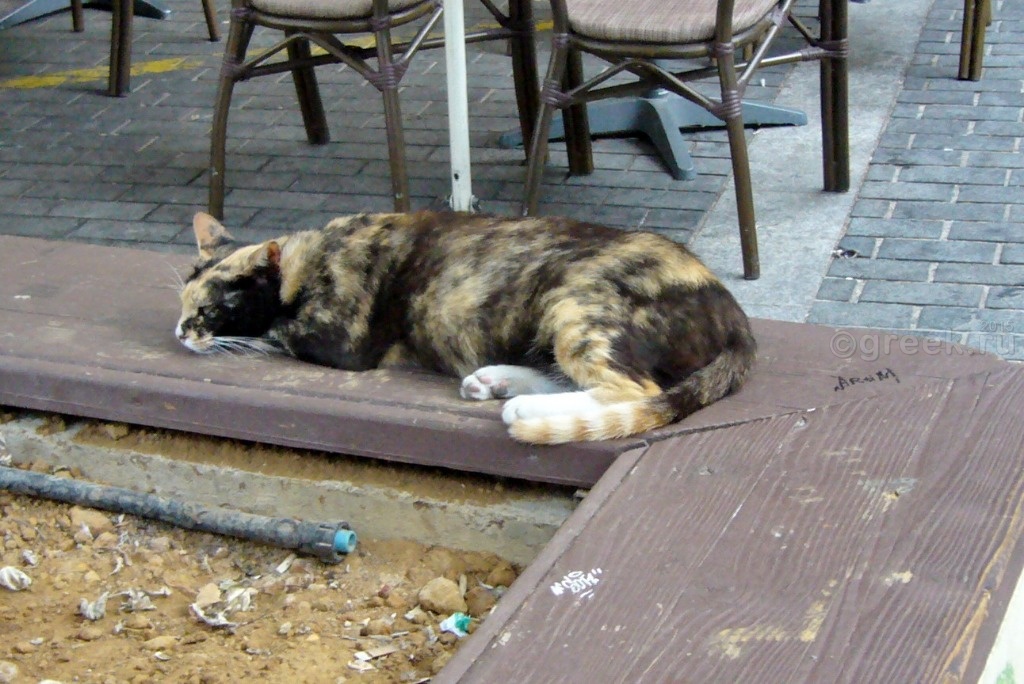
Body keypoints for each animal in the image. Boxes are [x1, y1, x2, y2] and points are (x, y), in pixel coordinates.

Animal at [175, 210, 756, 444]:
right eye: (182, 304)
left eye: (210, 310)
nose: (182, 332)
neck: (311, 256)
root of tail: (739, 324)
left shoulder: (345, 343)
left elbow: (277, 332)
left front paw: (242, 339)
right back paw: (495, 382)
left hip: (577, 305)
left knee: (634, 389)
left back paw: (523, 409)